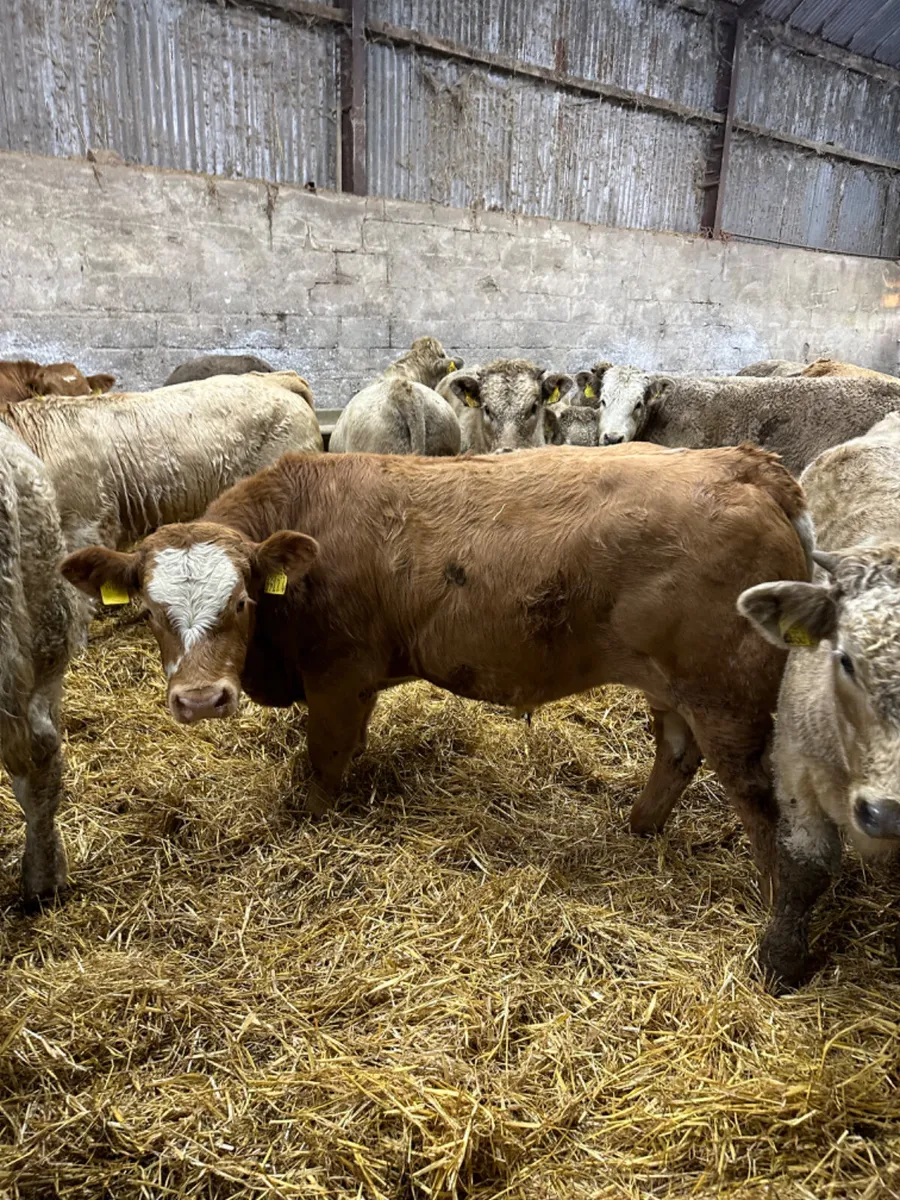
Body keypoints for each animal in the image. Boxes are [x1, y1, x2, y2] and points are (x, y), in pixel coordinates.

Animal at [62, 443, 812, 892]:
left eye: (243, 601)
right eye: (151, 612)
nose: (200, 700)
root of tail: (741, 462)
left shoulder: (340, 677)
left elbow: (324, 762)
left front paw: (309, 825)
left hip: (729, 694)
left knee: (763, 802)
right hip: (673, 684)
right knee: (676, 752)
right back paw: (638, 826)